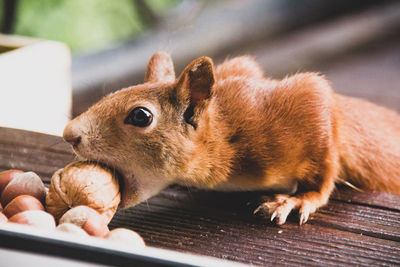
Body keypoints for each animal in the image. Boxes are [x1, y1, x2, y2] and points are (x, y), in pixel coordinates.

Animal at [64, 51, 400, 225]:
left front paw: (298, 199)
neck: (224, 133)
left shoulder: (303, 106)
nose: (69, 134)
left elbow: (323, 165)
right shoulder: (242, 67)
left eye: (140, 116)